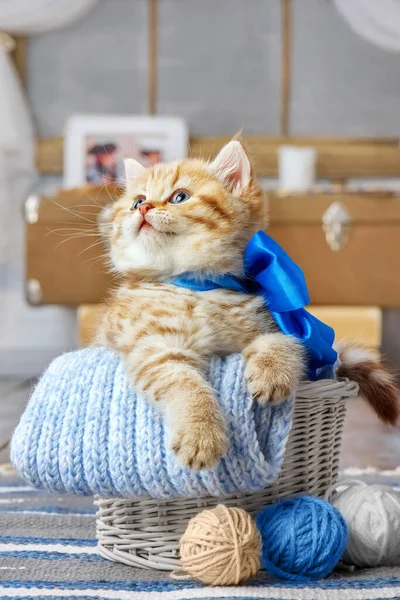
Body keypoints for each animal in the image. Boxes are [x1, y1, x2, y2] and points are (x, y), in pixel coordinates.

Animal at [96, 139, 396, 468]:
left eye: (180, 197)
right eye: (137, 201)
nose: (145, 207)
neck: (199, 287)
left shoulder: (267, 323)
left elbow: (284, 340)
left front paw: (272, 372)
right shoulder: (152, 347)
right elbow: (183, 382)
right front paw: (200, 434)